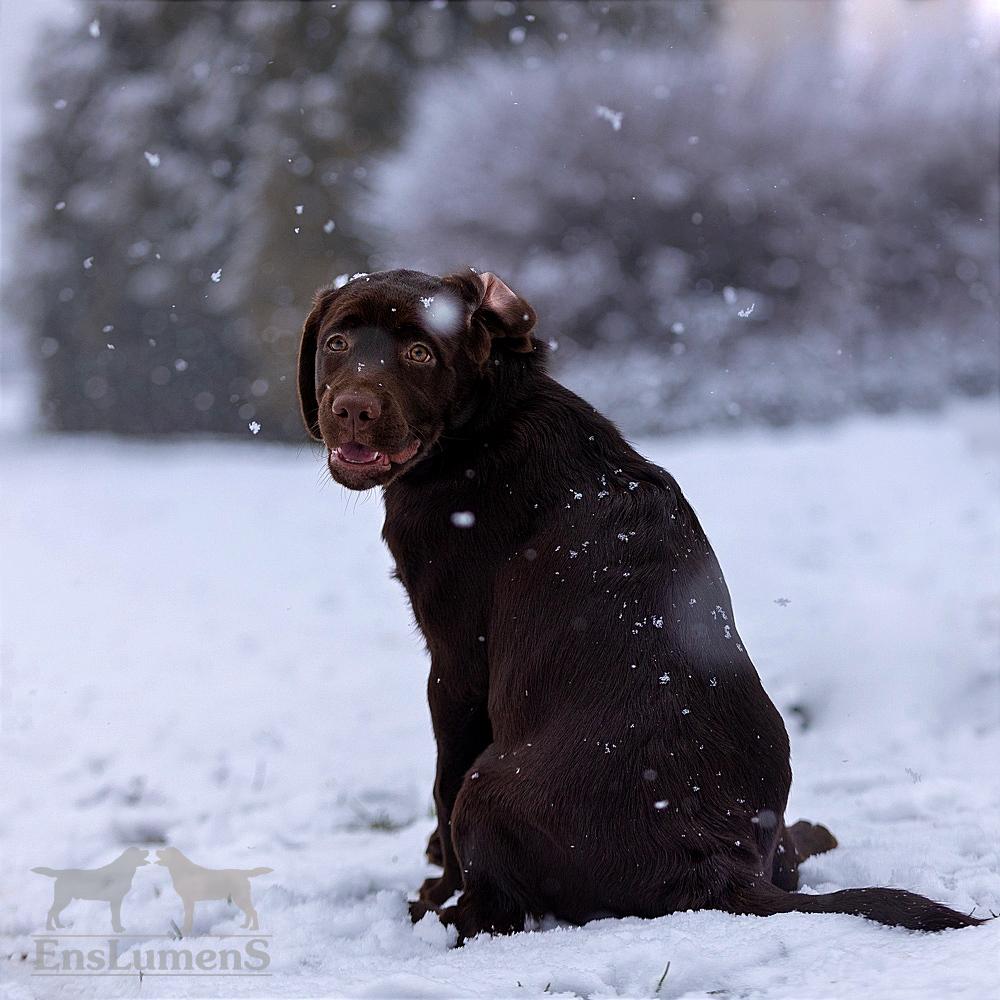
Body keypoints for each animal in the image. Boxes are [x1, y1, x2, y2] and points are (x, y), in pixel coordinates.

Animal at [298, 266, 984, 936]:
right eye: (337, 343)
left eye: (420, 352)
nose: (351, 409)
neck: (484, 426)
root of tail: (712, 864)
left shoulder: (457, 664)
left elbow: (441, 782)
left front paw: (436, 882)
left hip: (487, 788)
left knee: (493, 907)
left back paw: (432, 914)